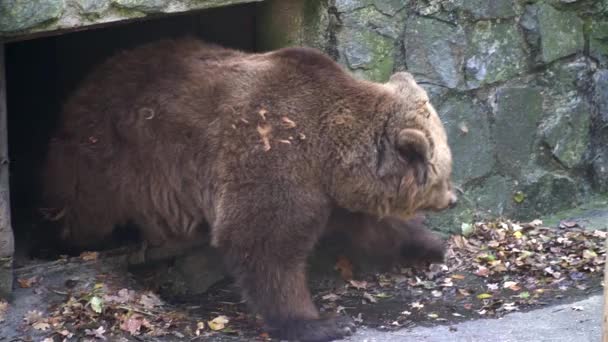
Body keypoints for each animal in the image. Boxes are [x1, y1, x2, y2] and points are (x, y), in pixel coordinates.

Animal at [40, 38, 454, 340]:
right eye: (443, 174)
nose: (452, 198)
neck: (329, 152)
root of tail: (86, 82)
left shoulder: (330, 190)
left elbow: (375, 227)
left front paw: (431, 246)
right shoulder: (275, 152)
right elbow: (264, 243)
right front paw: (322, 322)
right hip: (107, 160)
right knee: (81, 212)